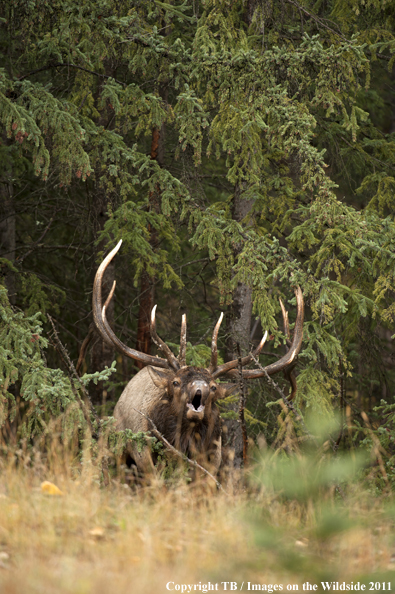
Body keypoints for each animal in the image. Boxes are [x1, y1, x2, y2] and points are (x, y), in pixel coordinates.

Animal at [94, 239, 304, 472]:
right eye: (175, 382)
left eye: (213, 387)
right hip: (118, 449)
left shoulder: (213, 462)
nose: (199, 389)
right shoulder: (145, 459)